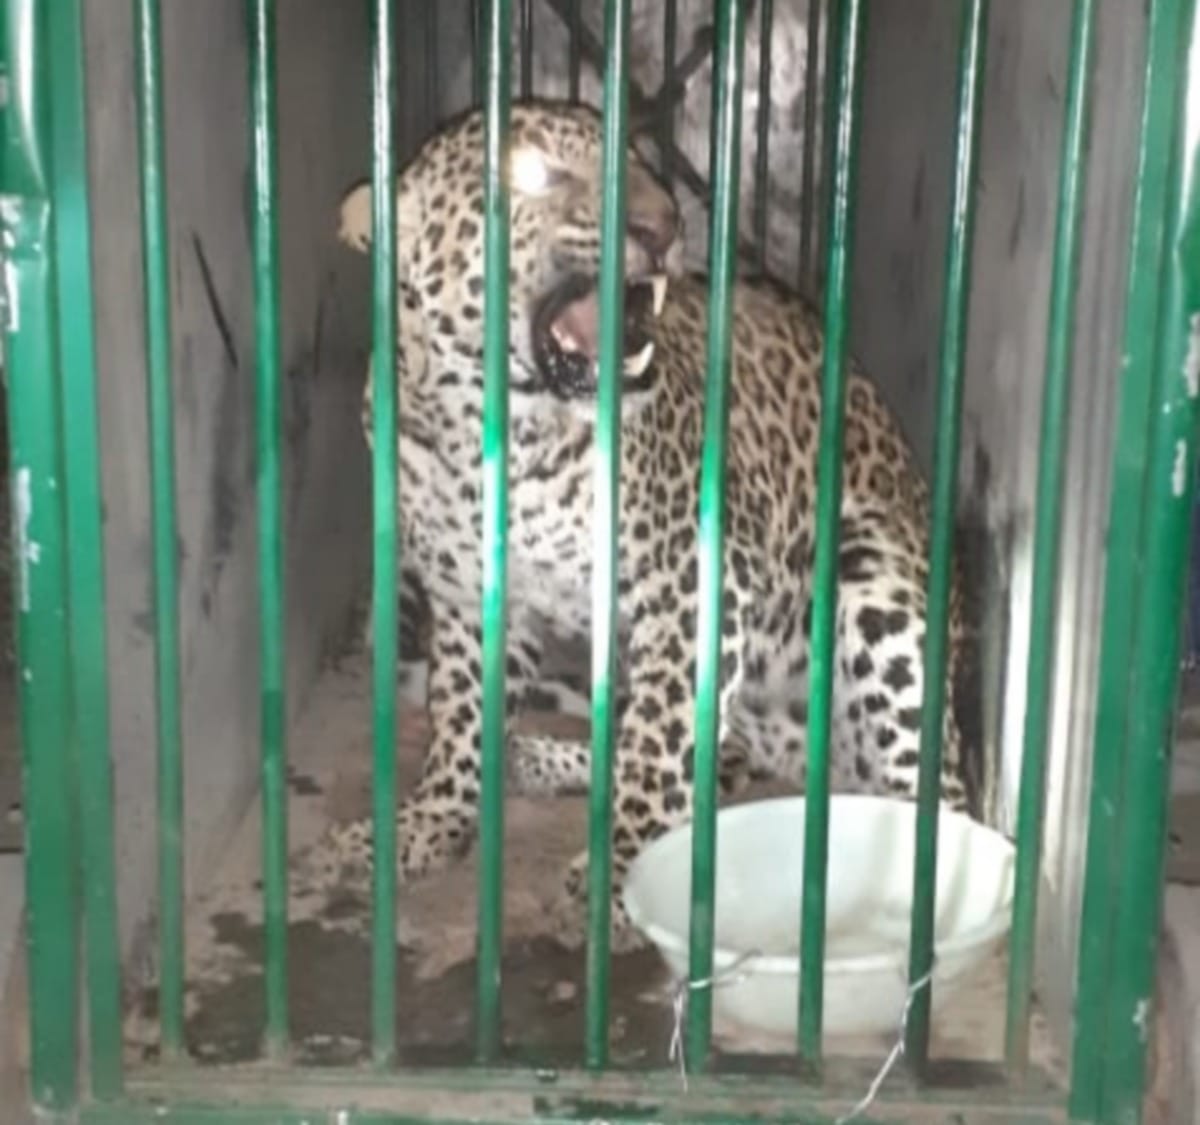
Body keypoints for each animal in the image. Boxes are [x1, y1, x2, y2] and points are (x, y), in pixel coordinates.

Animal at [327, 98, 988, 951]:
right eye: (535, 172)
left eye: (637, 161)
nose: (665, 224)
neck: (492, 429)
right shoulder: (473, 598)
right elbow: (465, 716)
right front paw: (428, 819)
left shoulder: (694, 587)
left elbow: (658, 740)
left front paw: (622, 874)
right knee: (712, 755)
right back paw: (536, 757)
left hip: (872, 581)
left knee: (935, 794)